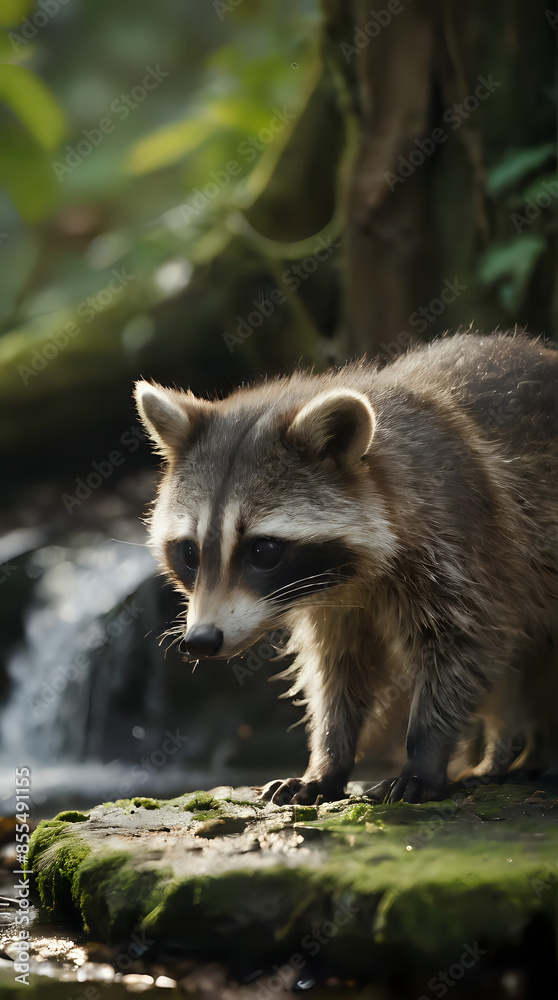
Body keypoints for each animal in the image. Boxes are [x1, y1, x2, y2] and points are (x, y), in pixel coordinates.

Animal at [134, 333, 558, 804]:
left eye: (263, 551)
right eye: (189, 553)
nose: (201, 641)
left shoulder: (464, 539)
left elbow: (464, 648)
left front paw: (425, 753)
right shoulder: (332, 604)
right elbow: (336, 671)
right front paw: (328, 757)